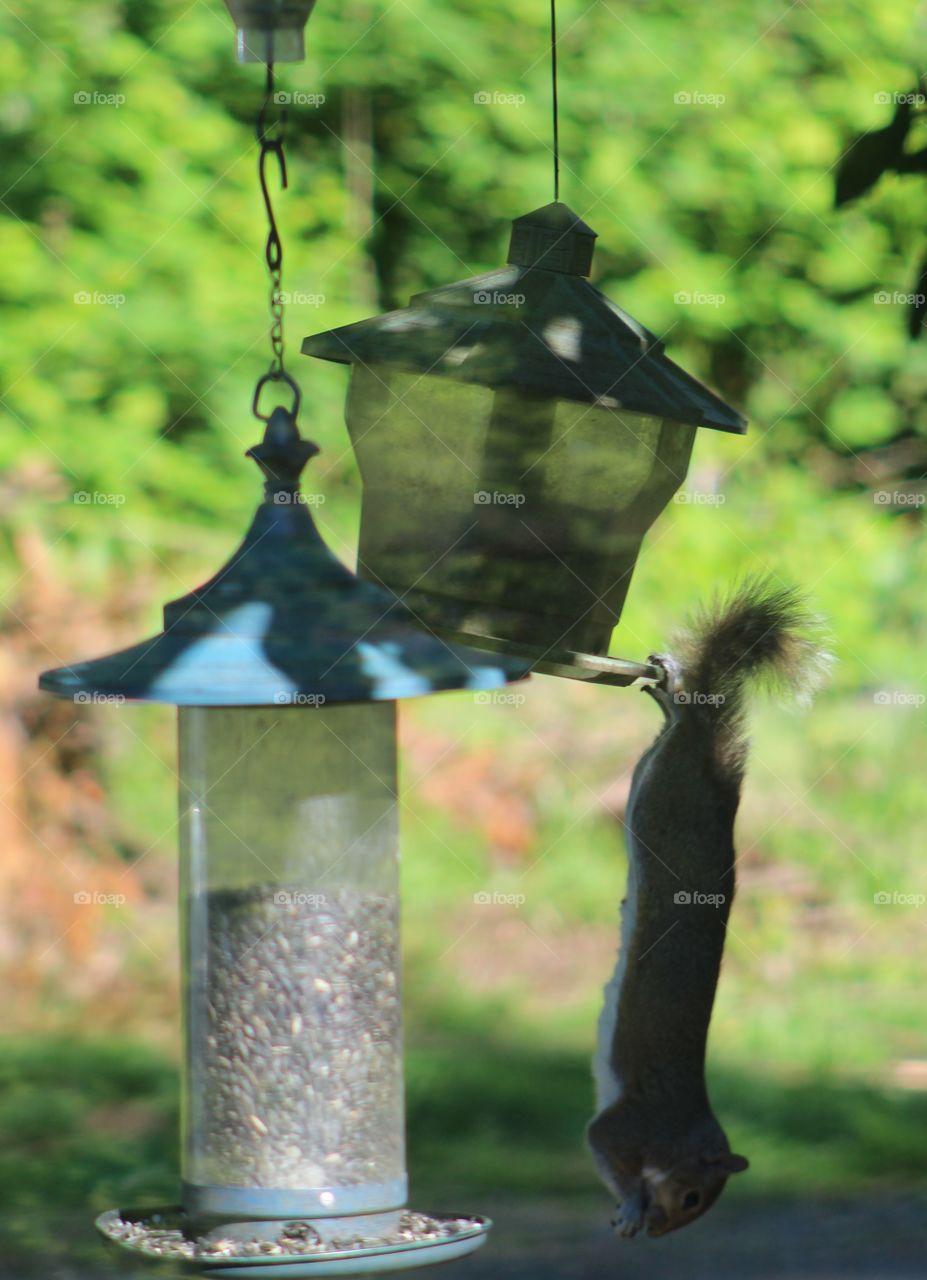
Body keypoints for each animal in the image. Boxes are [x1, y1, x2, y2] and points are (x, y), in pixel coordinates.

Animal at [587, 578, 830, 1239]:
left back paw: (672, 703)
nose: (662, 1234)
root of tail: (716, 771)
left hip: (654, 774)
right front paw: (631, 1207)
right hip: (669, 798)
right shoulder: (629, 1125)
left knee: (672, 734)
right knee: (685, 729)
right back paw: (677, 697)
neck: (681, 1132)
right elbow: (603, 1146)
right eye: (693, 1196)